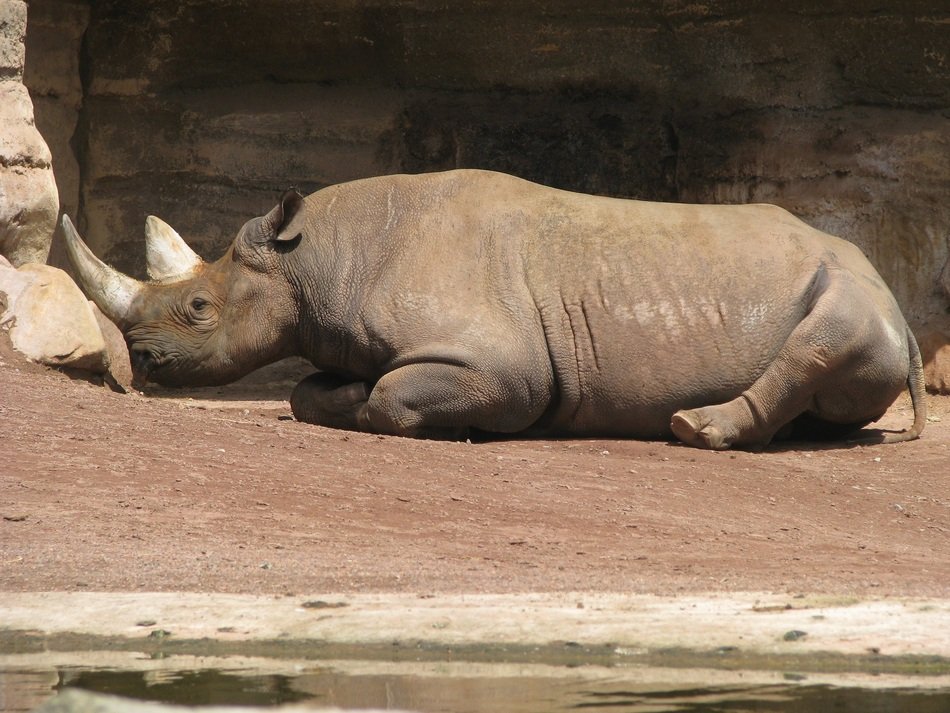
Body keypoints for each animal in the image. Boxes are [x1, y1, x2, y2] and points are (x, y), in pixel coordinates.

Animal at [62, 169, 926, 449]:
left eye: (198, 307)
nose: (141, 360)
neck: (313, 258)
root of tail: (901, 303)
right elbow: (313, 390)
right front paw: (340, 393)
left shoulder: (504, 366)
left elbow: (395, 396)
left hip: (855, 290)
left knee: (825, 334)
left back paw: (693, 428)